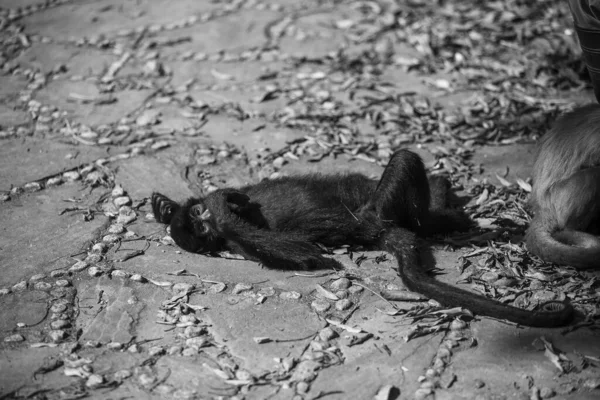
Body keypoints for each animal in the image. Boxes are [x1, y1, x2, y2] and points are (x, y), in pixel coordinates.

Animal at [152, 148, 576, 326]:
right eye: (201, 232)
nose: (205, 220)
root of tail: (382, 231)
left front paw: (165, 207)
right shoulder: (235, 242)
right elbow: (306, 254)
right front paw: (218, 211)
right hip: (381, 210)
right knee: (405, 166)